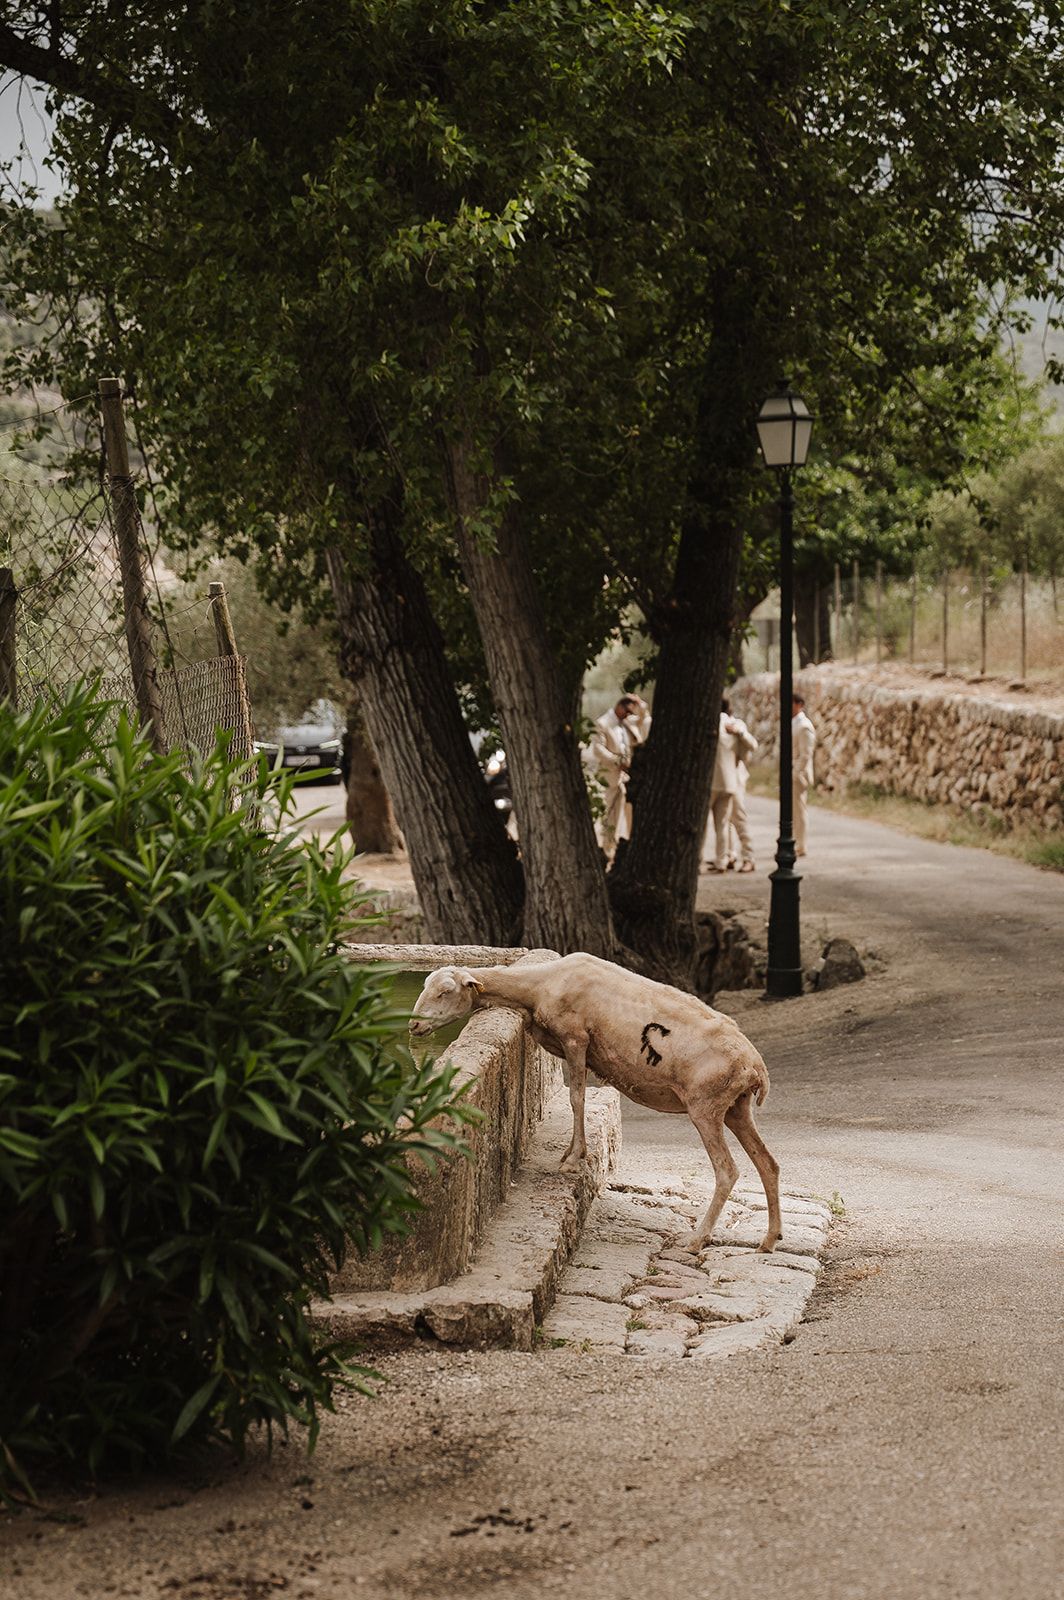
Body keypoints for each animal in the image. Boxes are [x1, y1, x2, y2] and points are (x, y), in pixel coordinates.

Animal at [409, 952, 781, 1255]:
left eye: (445, 991)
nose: (413, 1025)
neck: (539, 986)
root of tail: (756, 1069)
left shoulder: (575, 1038)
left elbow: (577, 1098)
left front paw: (574, 1158)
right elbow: (579, 1098)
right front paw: (573, 1153)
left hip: (706, 1106)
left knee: (727, 1170)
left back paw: (696, 1240)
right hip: (736, 1107)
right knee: (768, 1164)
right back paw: (769, 1240)